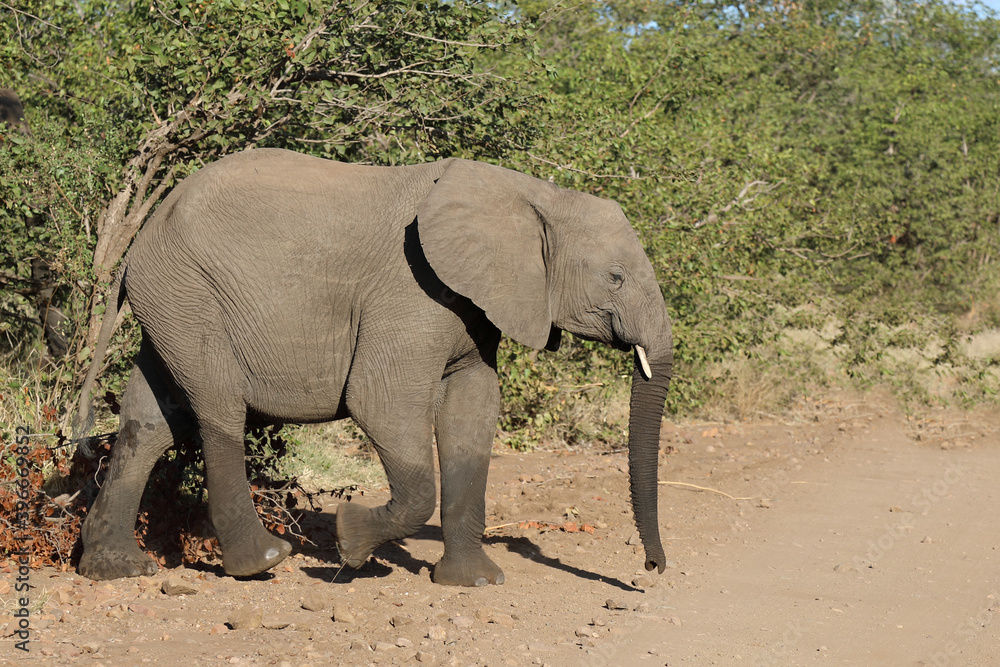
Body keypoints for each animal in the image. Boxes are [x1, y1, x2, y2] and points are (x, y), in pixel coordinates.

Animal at [75, 148, 673, 587]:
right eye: (615, 277)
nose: (651, 568)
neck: (533, 195)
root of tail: (137, 243)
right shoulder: (412, 292)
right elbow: (379, 403)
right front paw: (349, 542)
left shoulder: (474, 306)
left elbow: (473, 411)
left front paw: (474, 583)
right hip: (192, 293)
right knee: (217, 408)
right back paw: (263, 561)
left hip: (172, 301)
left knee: (151, 420)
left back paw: (114, 569)